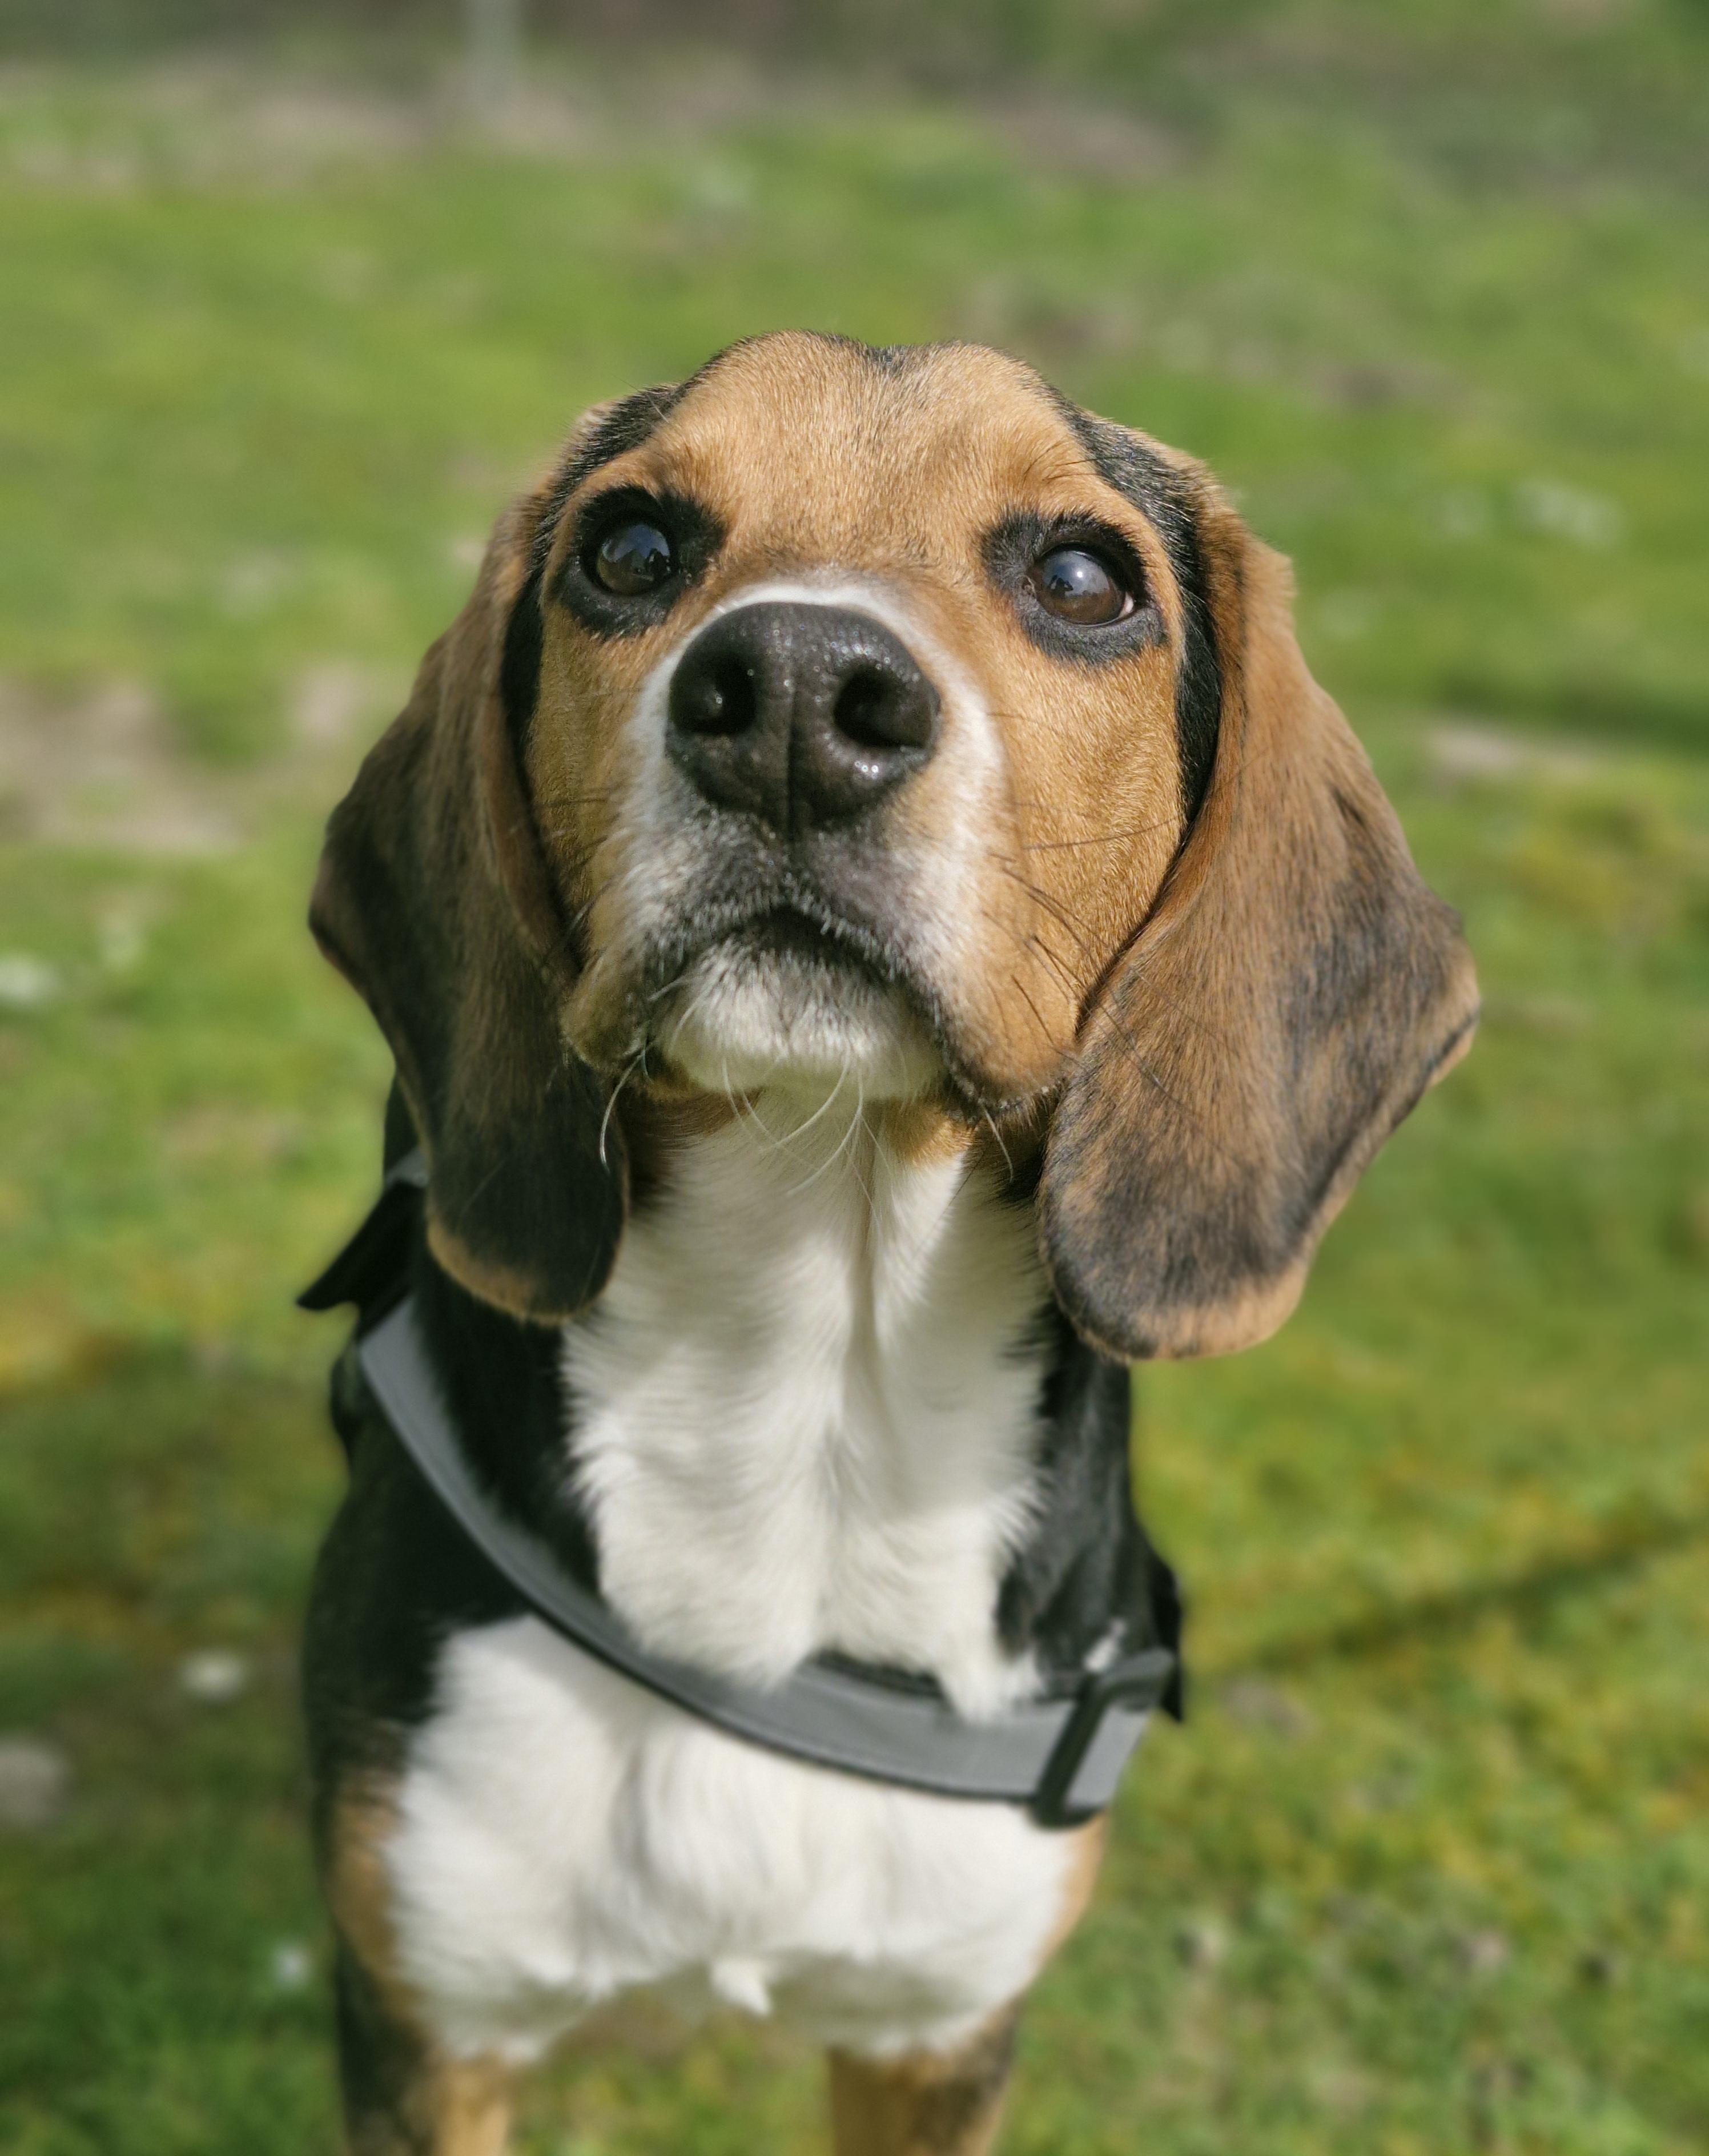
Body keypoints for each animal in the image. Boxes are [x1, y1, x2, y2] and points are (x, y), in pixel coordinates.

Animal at [300, 331, 1476, 2155]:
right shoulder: (433, 2020)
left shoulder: (937, 2032)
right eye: (628, 550)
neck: (813, 1390)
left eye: (1082, 579)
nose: (792, 694)